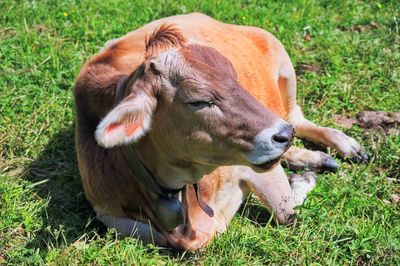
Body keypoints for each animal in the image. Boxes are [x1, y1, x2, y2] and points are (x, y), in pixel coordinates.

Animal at [73, 13, 368, 249]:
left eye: (235, 79)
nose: (282, 135)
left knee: (297, 117)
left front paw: (303, 179)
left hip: (283, 64)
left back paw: (342, 147)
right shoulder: (108, 213)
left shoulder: (253, 168)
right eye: (199, 101)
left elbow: (286, 212)